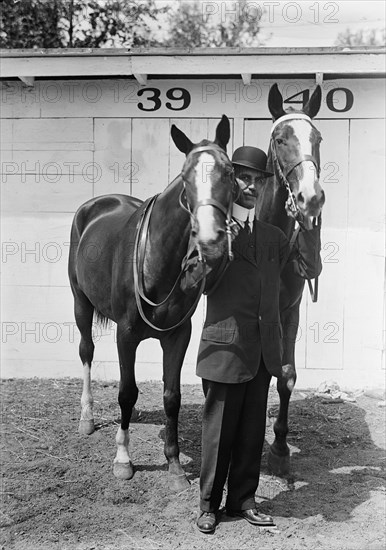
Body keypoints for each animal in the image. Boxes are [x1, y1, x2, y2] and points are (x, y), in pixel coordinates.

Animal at [69, 116, 235, 492]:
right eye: (186, 176)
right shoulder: (126, 334)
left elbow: (171, 396)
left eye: (230, 171)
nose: (211, 241)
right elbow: (127, 393)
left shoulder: (178, 336)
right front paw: (123, 460)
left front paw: (174, 464)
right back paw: (86, 417)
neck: (157, 260)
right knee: (86, 352)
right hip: (80, 303)